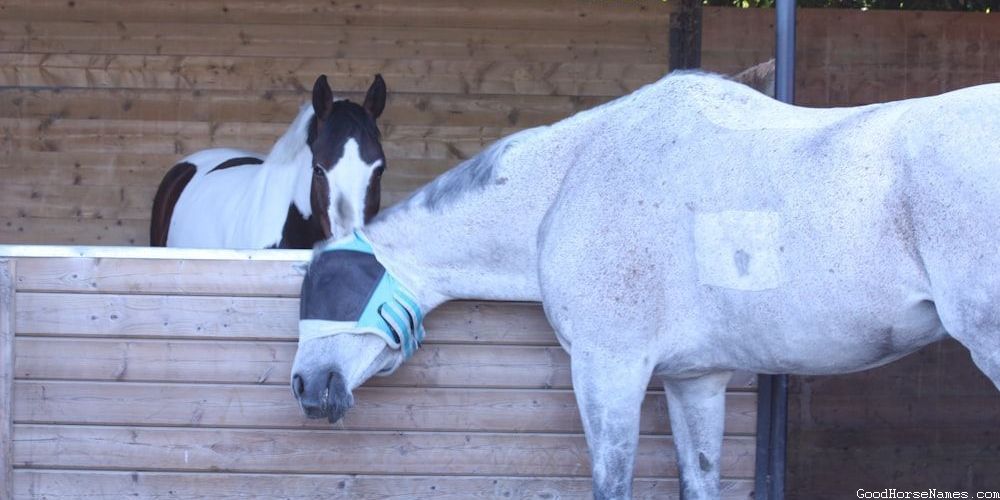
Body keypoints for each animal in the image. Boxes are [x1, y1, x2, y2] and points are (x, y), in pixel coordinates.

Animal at [290, 69, 1000, 499]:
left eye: (329, 287)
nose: (306, 385)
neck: (569, 182)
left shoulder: (608, 368)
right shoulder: (695, 380)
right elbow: (699, 480)